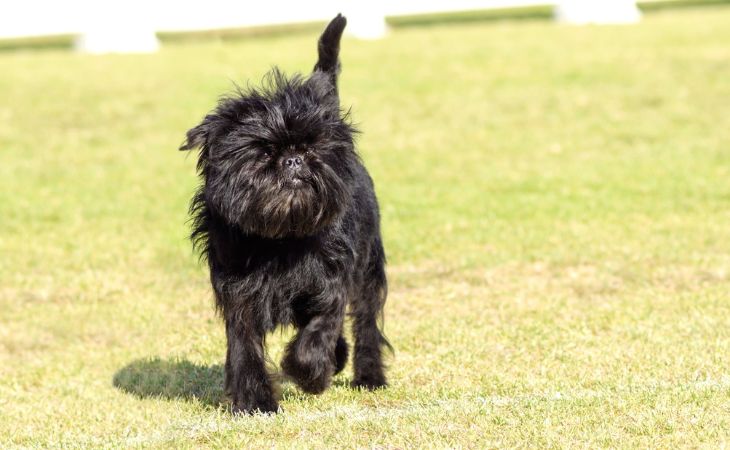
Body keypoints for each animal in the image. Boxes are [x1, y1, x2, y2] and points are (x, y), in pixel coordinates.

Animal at [180, 14, 390, 414]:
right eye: (263, 152)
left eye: (311, 147)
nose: (293, 159)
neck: (281, 238)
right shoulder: (238, 293)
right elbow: (245, 347)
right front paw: (255, 402)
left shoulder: (332, 282)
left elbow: (321, 331)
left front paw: (309, 373)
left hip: (368, 265)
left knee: (366, 320)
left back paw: (368, 375)